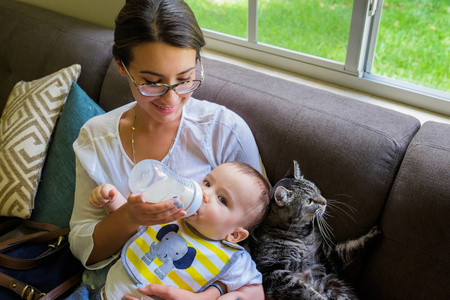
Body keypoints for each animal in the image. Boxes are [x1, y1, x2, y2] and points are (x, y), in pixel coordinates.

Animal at [251, 161, 382, 298]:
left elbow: (349, 248)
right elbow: (306, 291)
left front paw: (374, 233)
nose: (325, 201)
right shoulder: (273, 272)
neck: (301, 234)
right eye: (308, 201)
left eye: (315, 189)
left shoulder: (326, 257)